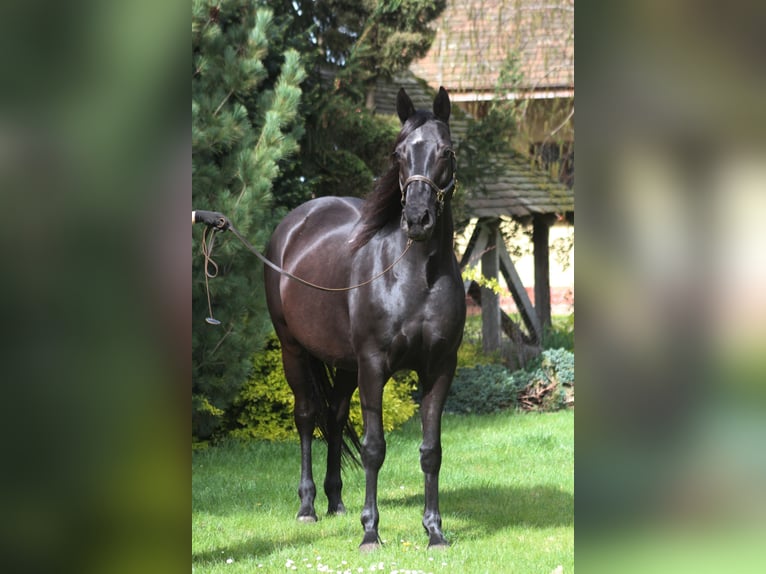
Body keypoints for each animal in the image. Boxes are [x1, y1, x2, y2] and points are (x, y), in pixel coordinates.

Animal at [264, 87, 466, 550]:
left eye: (446, 152)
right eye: (398, 154)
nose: (417, 219)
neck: (415, 275)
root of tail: (294, 224)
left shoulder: (440, 368)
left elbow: (431, 451)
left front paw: (435, 532)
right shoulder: (374, 365)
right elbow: (375, 448)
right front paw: (371, 531)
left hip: (343, 364)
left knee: (335, 417)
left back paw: (336, 502)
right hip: (293, 350)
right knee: (307, 417)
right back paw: (308, 507)